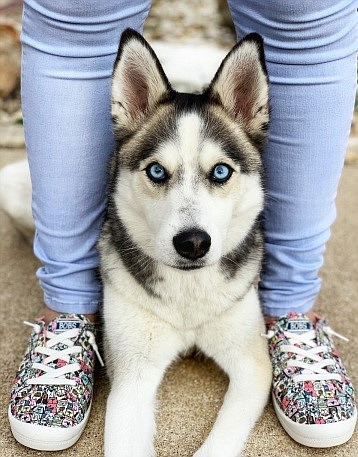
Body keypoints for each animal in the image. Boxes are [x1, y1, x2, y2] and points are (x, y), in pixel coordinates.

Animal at [98, 28, 272, 456]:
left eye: (221, 171)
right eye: (157, 171)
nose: (192, 243)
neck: (188, 299)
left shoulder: (253, 365)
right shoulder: (132, 377)